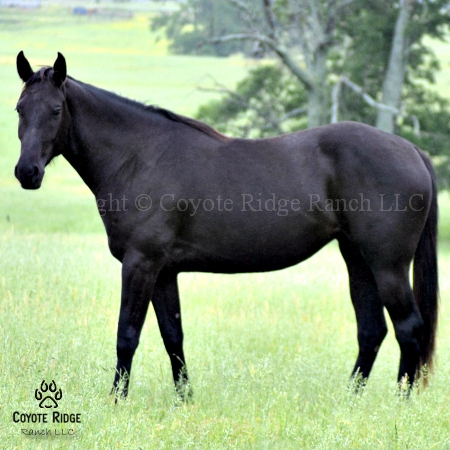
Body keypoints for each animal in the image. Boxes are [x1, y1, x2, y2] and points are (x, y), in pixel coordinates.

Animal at [14, 51, 440, 400]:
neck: (138, 157)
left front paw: (116, 401)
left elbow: (127, 335)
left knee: (409, 329)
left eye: (55, 110)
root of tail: (413, 151)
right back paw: (351, 401)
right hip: (358, 260)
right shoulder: (164, 272)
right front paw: (184, 400)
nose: (26, 172)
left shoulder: (140, 264)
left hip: (388, 266)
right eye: (19, 109)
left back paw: (401, 404)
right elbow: (173, 336)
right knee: (372, 330)